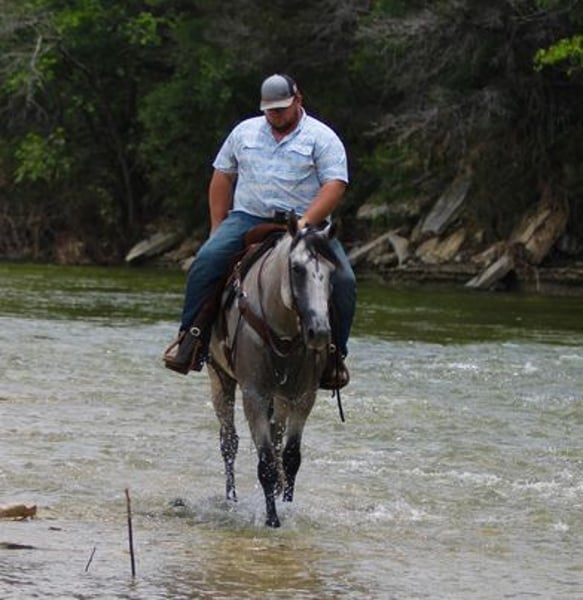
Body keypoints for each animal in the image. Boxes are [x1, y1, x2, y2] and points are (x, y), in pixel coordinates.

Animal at [207, 213, 339, 527]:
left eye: (332, 273)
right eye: (297, 269)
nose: (319, 333)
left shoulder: (303, 396)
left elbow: (290, 457)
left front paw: (286, 505)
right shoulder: (254, 394)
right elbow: (266, 461)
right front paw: (272, 519)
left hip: (280, 397)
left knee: (276, 436)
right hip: (219, 377)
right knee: (228, 442)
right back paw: (231, 499)